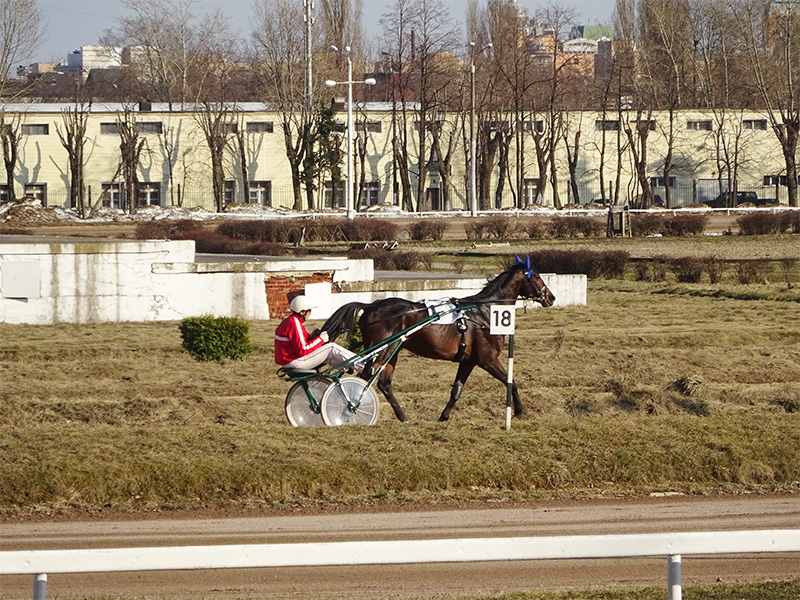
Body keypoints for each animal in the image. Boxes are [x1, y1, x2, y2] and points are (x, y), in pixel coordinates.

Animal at [320, 256, 556, 422]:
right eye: (536, 276)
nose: (551, 297)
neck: (482, 312)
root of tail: (370, 306)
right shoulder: (487, 360)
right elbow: (510, 382)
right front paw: (519, 410)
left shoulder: (469, 361)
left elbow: (456, 390)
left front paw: (444, 416)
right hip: (384, 349)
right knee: (367, 376)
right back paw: (354, 407)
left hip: (393, 350)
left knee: (384, 383)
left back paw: (402, 416)